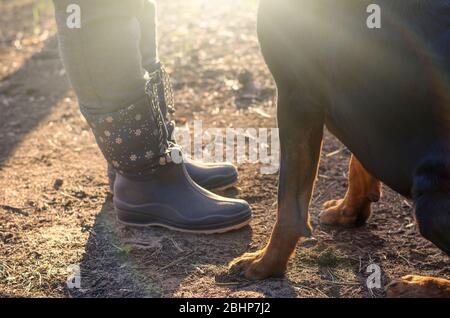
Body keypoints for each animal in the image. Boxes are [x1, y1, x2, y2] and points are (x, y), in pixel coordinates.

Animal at [232, 0, 450, 298]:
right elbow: (356, 163)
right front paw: (349, 210)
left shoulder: (297, 94)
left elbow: (288, 203)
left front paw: (266, 263)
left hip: (430, 200)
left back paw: (417, 286)